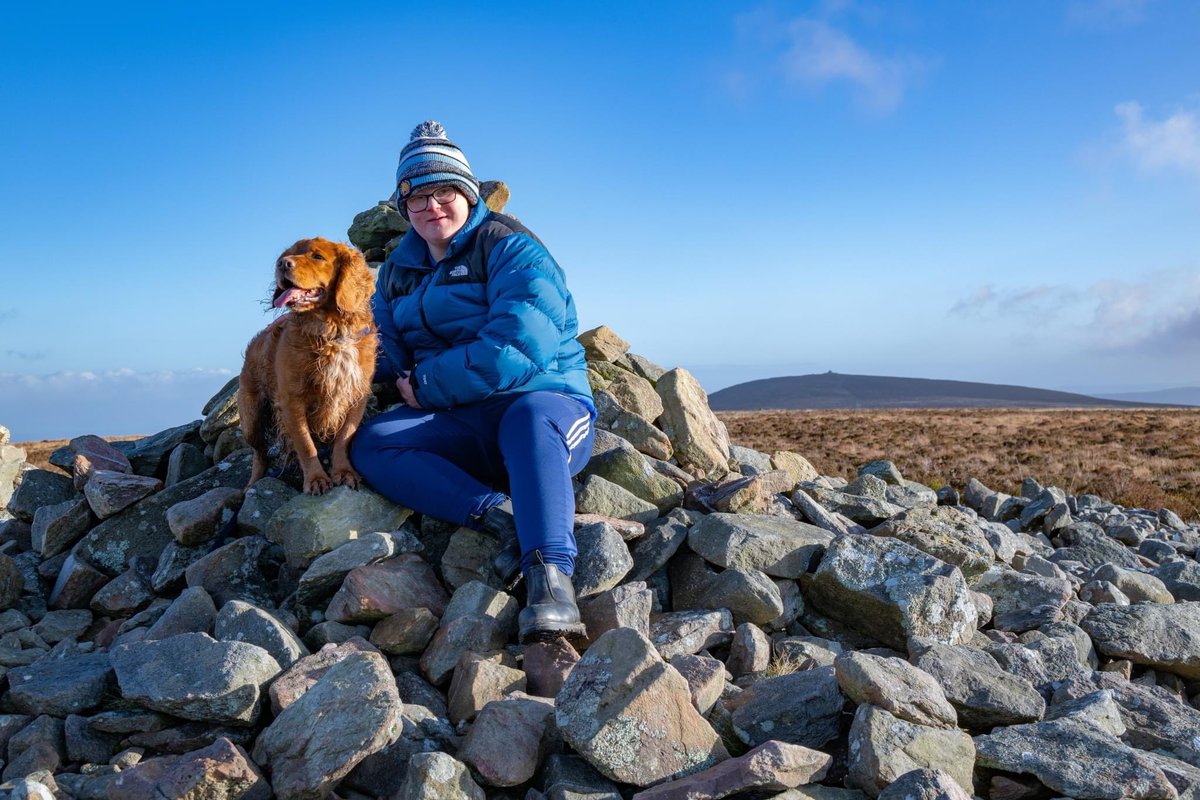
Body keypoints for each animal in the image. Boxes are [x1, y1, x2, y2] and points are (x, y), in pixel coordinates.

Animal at [236, 235, 376, 491]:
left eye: (317, 256)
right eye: (286, 255)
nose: (282, 263)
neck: (331, 333)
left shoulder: (356, 395)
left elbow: (344, 438)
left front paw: (343, 471)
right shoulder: (292, 400)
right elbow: (305, 444)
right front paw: (316, 478)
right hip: (251, 418)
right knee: (259, 453)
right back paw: (253, 483)